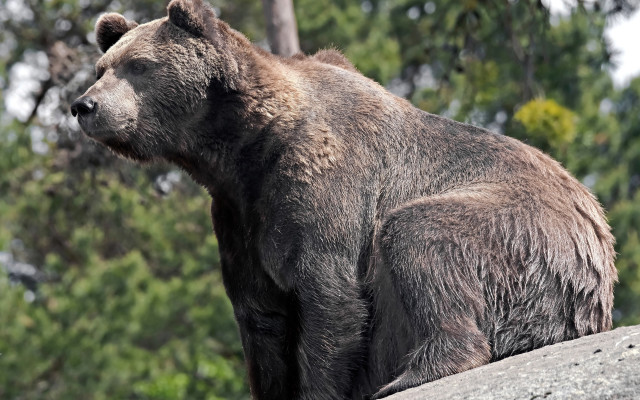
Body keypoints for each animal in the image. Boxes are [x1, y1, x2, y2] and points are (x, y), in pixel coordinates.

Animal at [70, 0, 617, 398]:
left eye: (139, 65)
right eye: (101, 66)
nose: (84, 105)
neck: (244, 149)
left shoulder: (325, 188)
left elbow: (330, 301)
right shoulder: (238, 217)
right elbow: (262, 322)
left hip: (522, 234)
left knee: (418, 234)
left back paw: (415, 372)